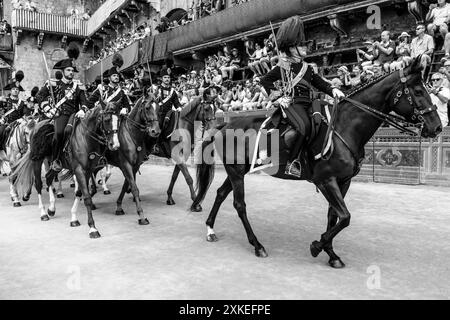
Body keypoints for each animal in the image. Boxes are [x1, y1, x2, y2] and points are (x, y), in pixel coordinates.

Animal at [190, 57, 442, 268]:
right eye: (418, 90)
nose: (437, 126)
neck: (345, 127)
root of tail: (224, 124)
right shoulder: (326, 180)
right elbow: (345, 217)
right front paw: (317, 246)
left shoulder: (343, 181)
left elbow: (335, 216)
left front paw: (331, 254)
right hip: (236, 171)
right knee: (239, 204)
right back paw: (257, 244)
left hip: (237, 171)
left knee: (221, 193)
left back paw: (210, 229)